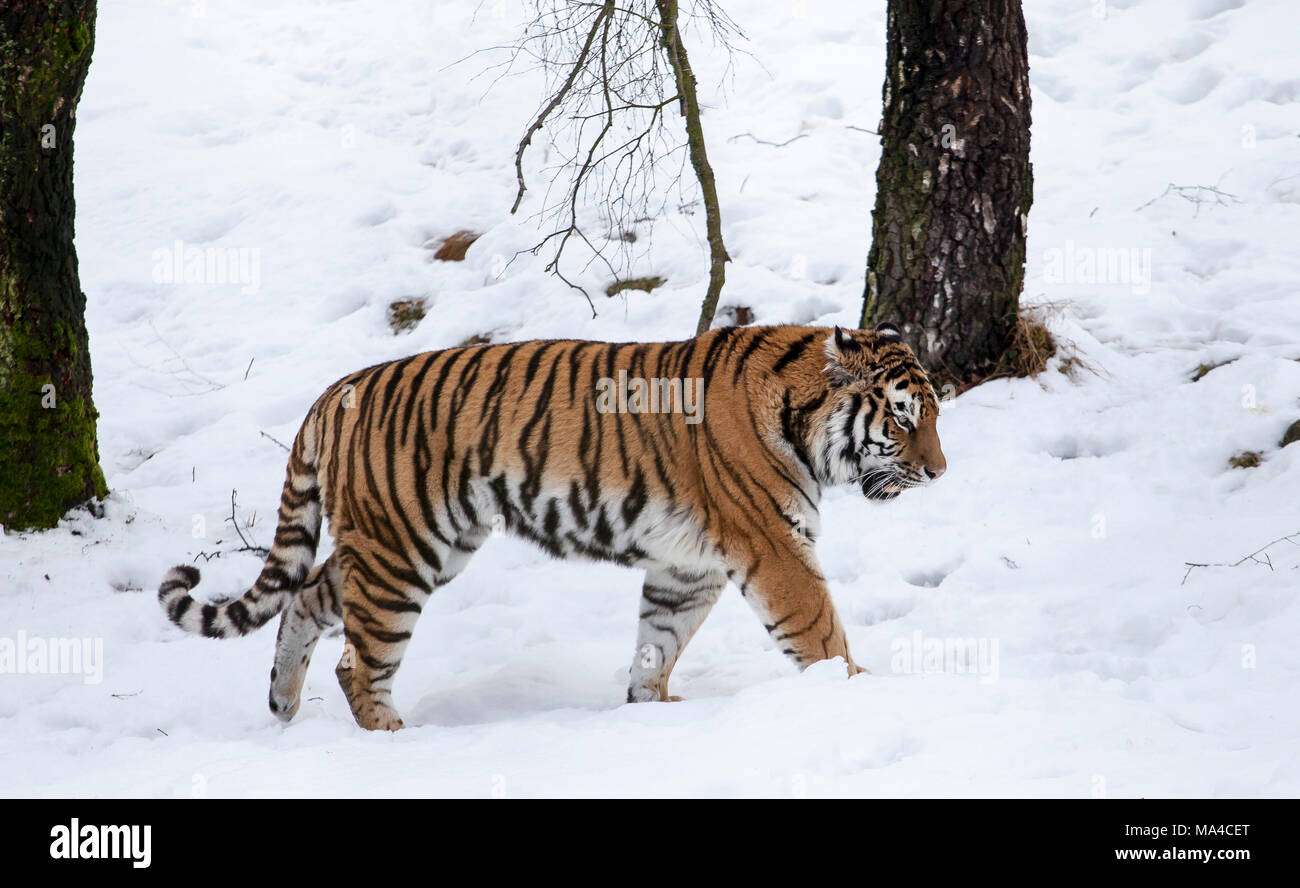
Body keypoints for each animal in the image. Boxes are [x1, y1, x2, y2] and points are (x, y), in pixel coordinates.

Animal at [157, 322, 946, 733]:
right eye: (906, 419)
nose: (940, 472)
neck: (802, 418)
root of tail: (335, 390)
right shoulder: (774, 547)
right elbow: (820, 630)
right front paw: (861, 694)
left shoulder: (686, 567)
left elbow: (657, 644)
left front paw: (651, 712)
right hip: (402, 550)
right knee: (359, 660)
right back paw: (395, 740)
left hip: (407, 543)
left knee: (305, 598)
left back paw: (283, 704)